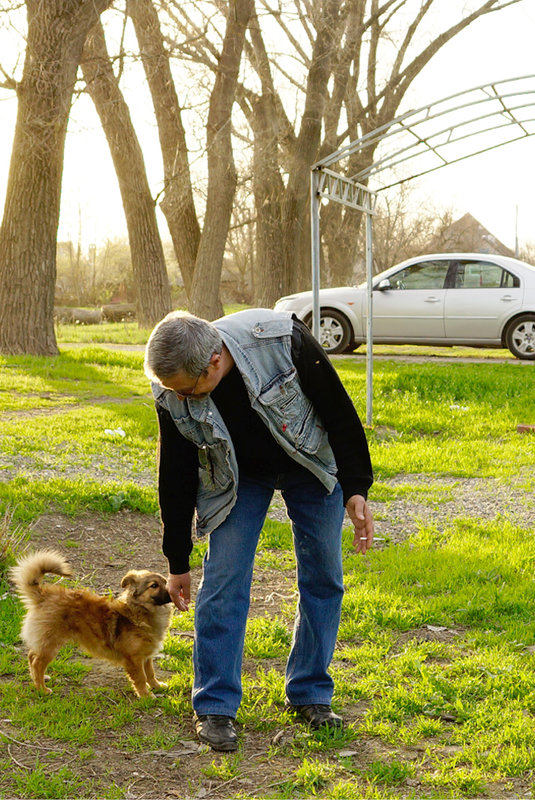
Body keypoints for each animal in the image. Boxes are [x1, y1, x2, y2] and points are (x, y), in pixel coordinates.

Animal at [10, 548, 173, 696]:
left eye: (166, 582)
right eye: (154, 585)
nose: (173, 592)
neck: (140, 611)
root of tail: (43, 596)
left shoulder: (146, 656)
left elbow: (150, 673)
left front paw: (157, 686)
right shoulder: (134, 659)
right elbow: (141, 678)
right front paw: (146, 696)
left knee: (32, 656)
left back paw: (40, 680)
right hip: (51, 644)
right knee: (37, 662)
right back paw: (41, 689)